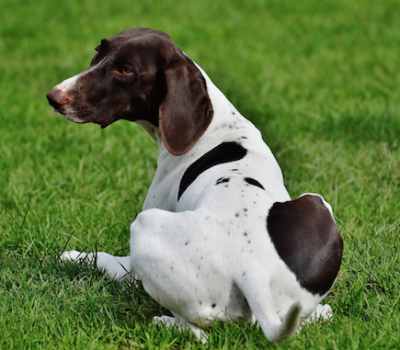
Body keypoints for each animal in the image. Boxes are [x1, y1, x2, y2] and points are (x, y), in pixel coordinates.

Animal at [45, 28, 342, 344]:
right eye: (97, 52)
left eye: (125, 70)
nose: (53, 97)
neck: (215, 126)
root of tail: (251, 271)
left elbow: (105, 261)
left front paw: (73, 257)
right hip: (316, 202)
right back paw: (321, 312)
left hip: (144, 227)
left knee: (197, 331)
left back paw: (163, 322)